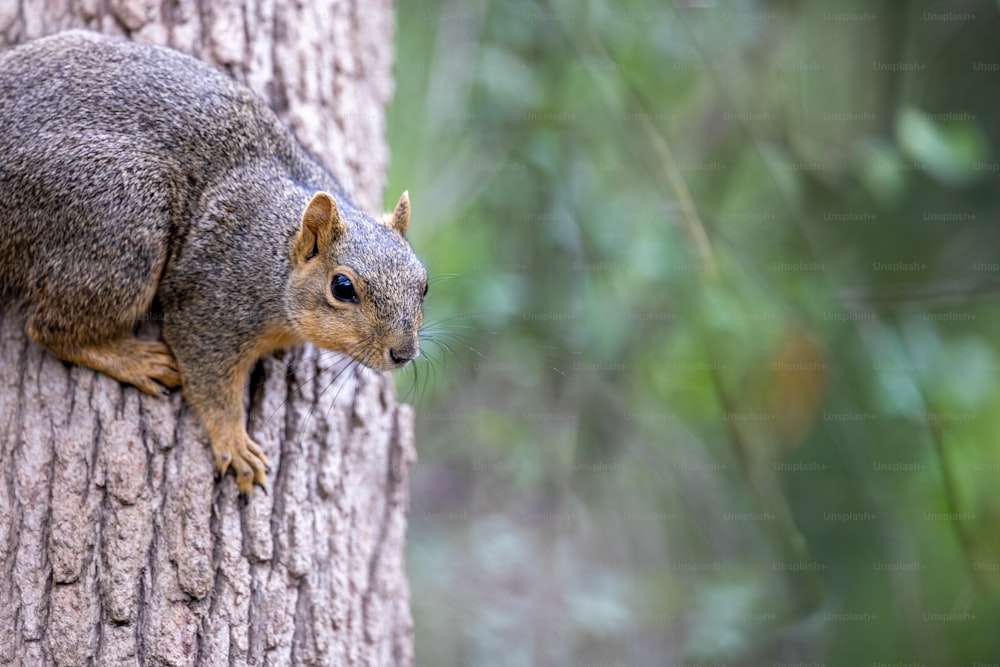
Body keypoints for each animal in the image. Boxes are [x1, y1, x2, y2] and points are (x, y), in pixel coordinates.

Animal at [0, 31, 426, 496]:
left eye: (423, 284)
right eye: (342, 288)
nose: (403, 353)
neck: (274, 252)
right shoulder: (211, 301)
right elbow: (208, 375)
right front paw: (235, 443)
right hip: (121, 222)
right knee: (50, 329)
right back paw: (136, 360)